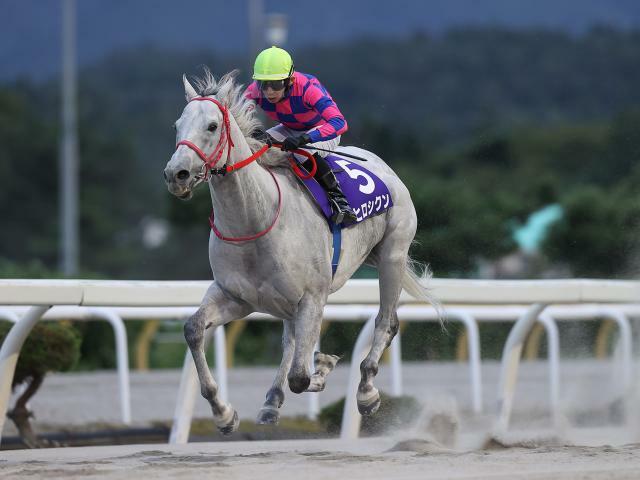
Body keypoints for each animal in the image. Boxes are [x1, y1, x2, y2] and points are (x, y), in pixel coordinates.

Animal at [162, 70, 438, 436]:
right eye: (177, 125)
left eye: (211, 126)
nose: (175, 174)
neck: (254, 217)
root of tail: (382, 166)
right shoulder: (236, 297)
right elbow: (193, 330)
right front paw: (223, 414)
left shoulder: (312, 296)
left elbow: (301, 376)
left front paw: (323, 366)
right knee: (291, 341)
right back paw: (271, 401)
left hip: (392, 254)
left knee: (386, 323)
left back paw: (366, 393)